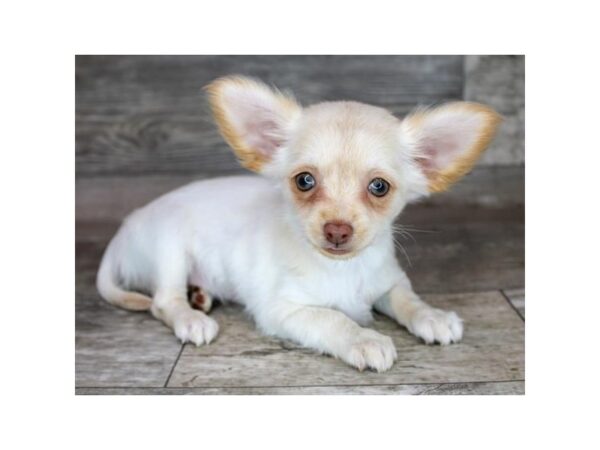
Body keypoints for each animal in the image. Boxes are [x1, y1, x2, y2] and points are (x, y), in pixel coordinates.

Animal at [97, 75, 502, 372]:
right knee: (163, 301)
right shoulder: (283, 310)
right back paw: (191, 318)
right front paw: (364, 339)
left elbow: (408, 299)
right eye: (305, 181)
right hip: (170, 249)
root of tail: (123, 230)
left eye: (379, 187)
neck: (343, 270)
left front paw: (432, 316)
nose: (337, 230)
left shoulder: (389, 280)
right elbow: (332, 319)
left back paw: (201, 295)